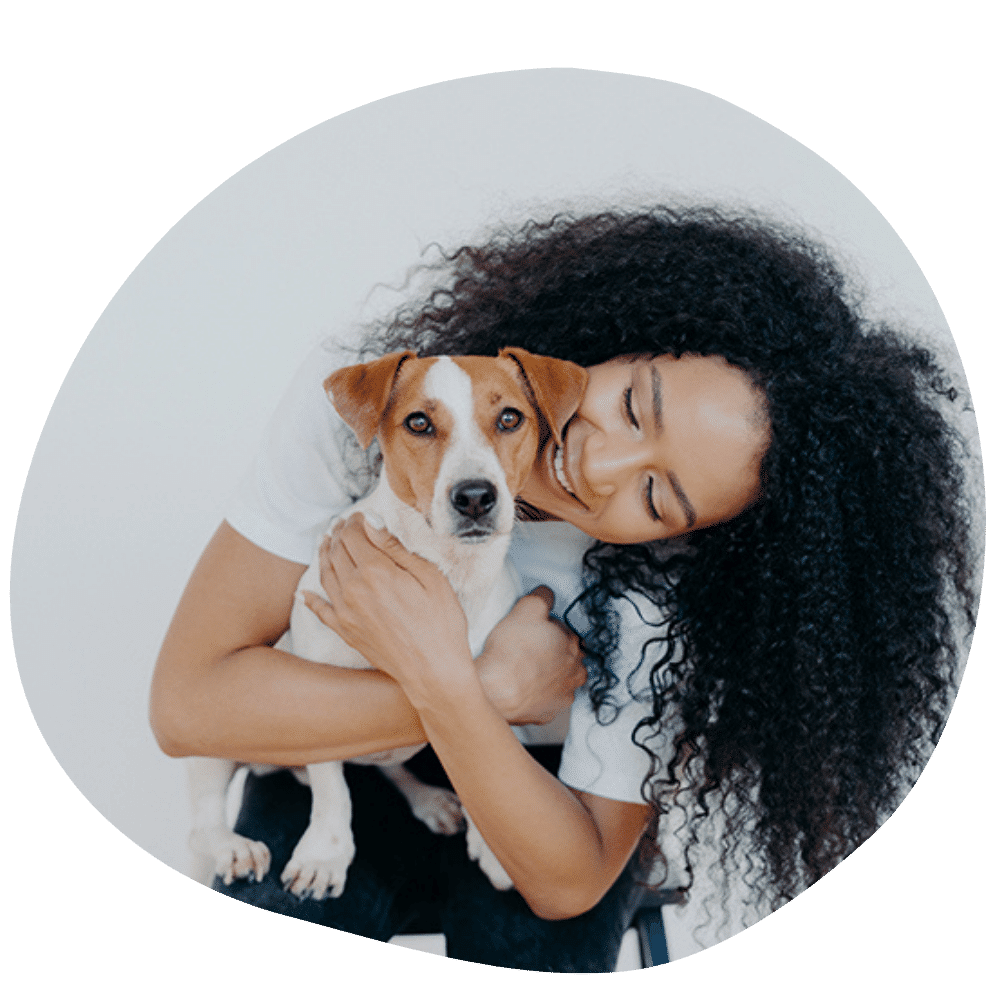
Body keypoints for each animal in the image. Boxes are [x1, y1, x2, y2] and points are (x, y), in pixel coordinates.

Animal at [188, 348, 584, 904]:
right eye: (418, 422)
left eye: (510, 418)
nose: (475, 496)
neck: (449, 572)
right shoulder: (315, 686)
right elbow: (333, 787)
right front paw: (325, 854)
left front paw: (493, 845)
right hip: (216, 735)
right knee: (203, 814)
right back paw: (231, 848)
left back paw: (427, 800)